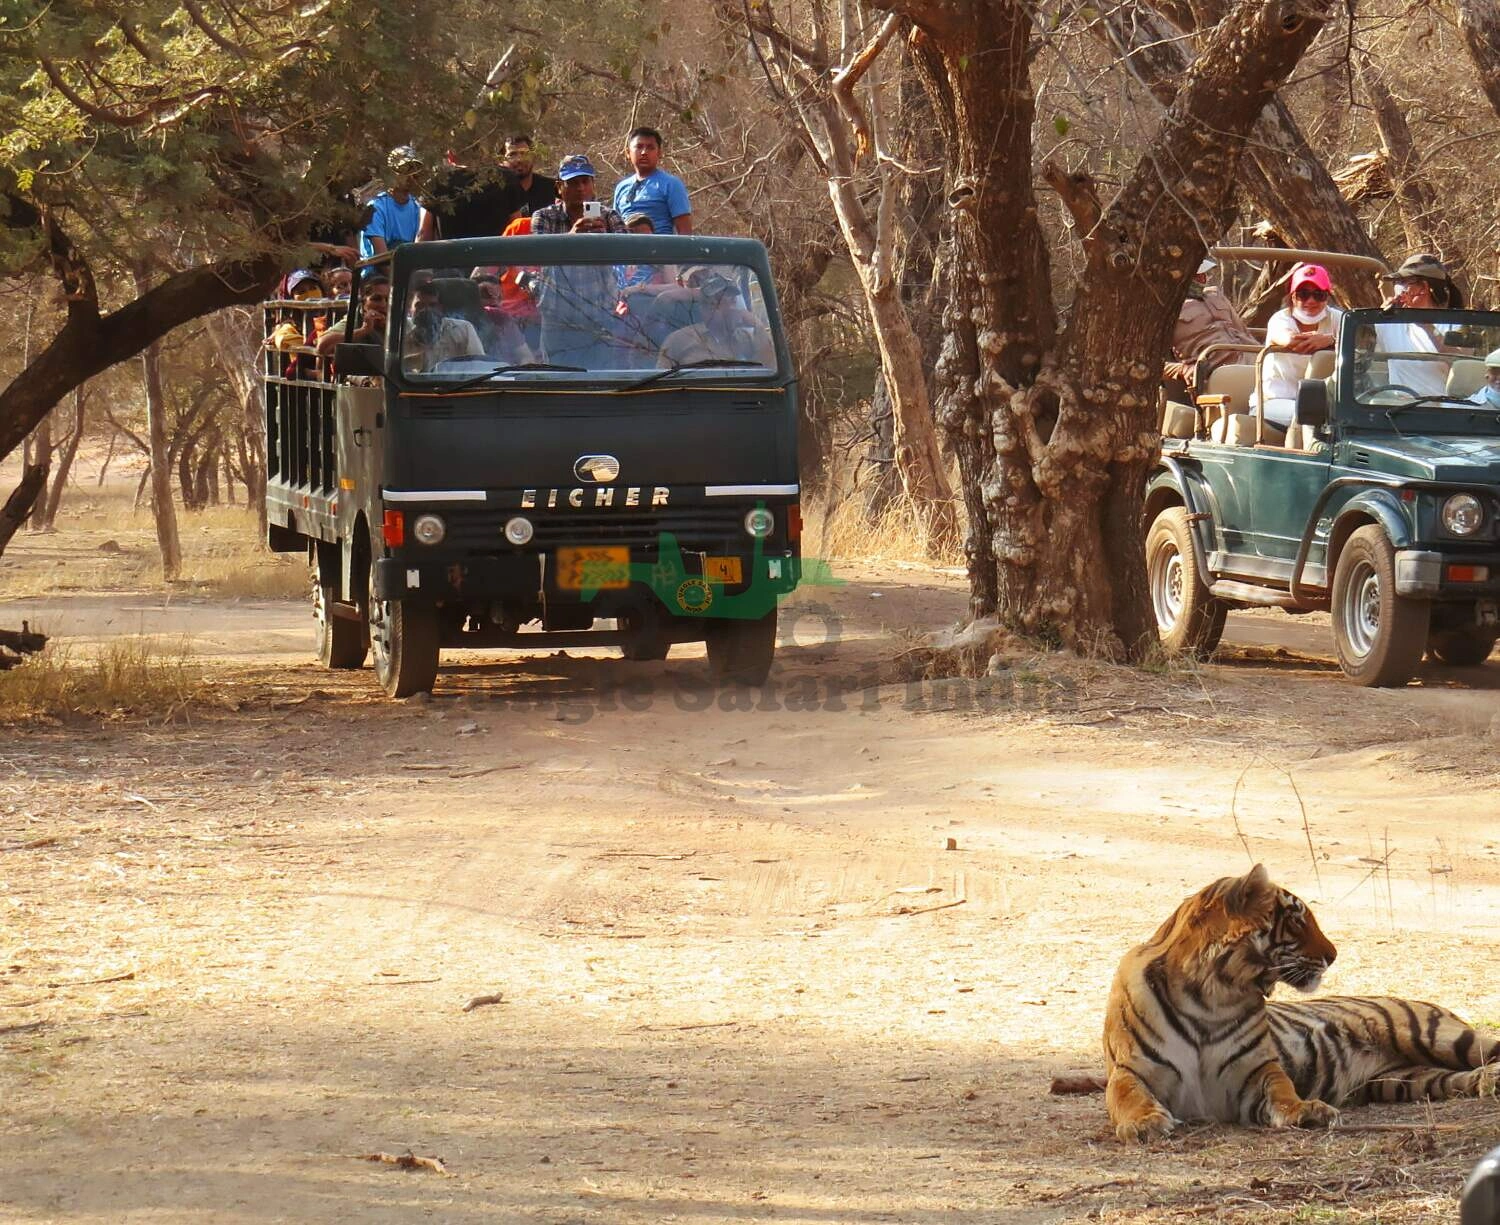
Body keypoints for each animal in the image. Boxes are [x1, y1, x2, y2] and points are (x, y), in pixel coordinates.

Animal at [1104, 863, 1500, 1139]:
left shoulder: (1256, 1070)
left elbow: (1282, 1089)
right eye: (1297, 921)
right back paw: (1487, 1083)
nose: (1334, 955)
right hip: (1406, 1078)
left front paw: (1306, 1110)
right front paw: (1143, 1123)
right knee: (1456, 1078)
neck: (1212, 994)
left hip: (1436, 1036)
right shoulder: (1132, 1069)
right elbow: (1127, 1095)